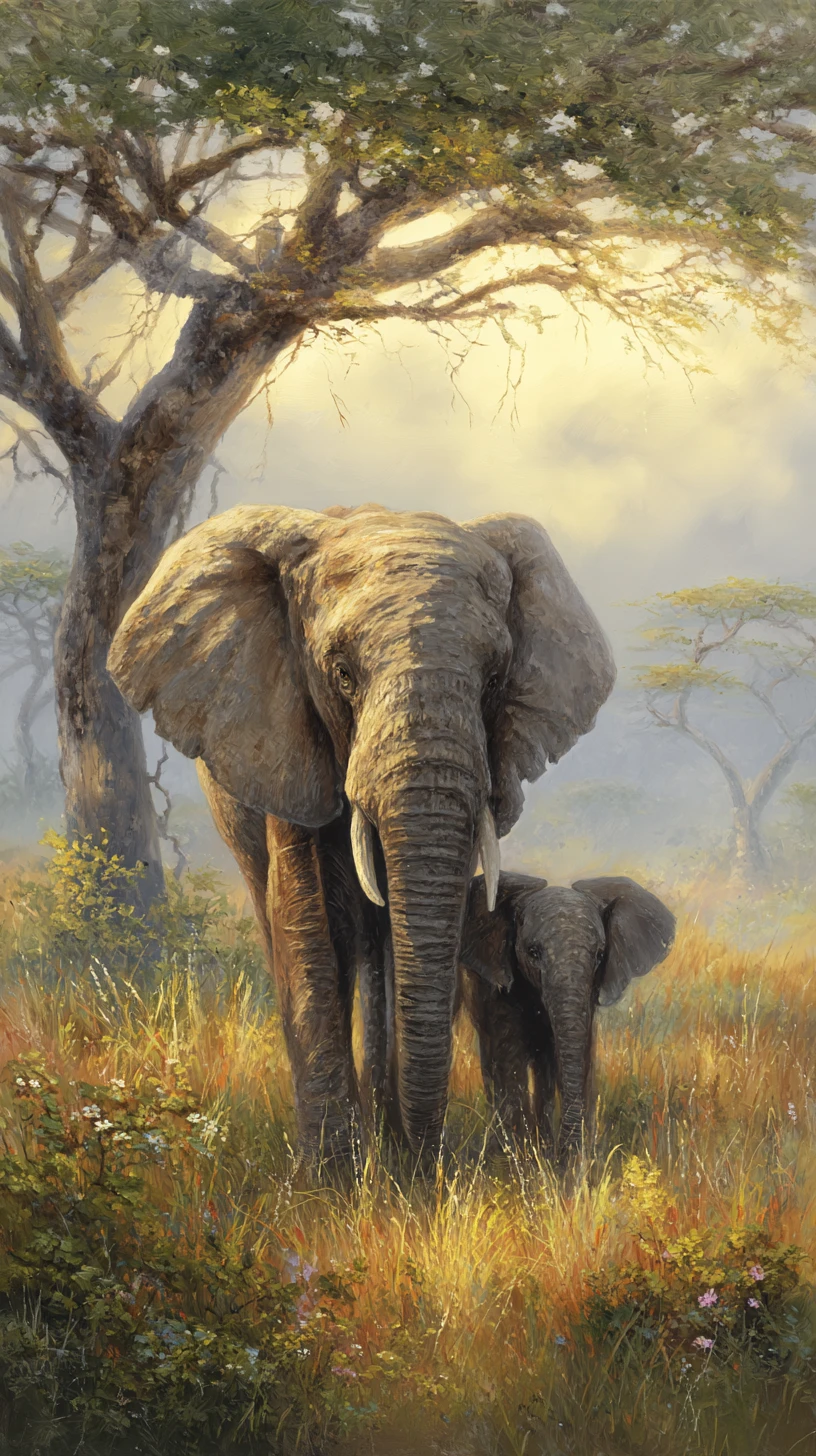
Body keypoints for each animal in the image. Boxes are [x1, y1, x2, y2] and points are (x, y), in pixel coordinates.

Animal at [108, 502, 615, 1169]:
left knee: (382, 945)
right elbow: (308, 923)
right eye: (343, 674)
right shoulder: (285, 735)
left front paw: (401, 1165)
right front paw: (332, 1176)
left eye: (494, 681)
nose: (428, 1161)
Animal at [459, 873, 676, 1163]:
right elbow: (510, 1058)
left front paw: (572, 1160)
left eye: (600, 955)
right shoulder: (499, 989)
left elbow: (578, 1054)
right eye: (533, 952)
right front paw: (520, 1161)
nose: (563, 1157)